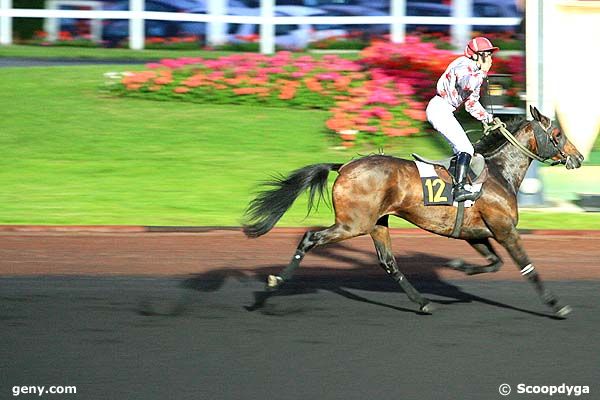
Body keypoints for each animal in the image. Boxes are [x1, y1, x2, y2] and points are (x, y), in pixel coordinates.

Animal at [241, 104, 584, 318]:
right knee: (309, 239)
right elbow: (527, 268)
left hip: (377, 223)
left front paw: (461, 267)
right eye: (557, 134)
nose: (579, 157)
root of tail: (344, 166)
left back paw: (422, 302)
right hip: (353, 224)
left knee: (389, 262)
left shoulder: (476, 233)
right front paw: (557, 305)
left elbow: (494, 263)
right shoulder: (505, 230)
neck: (499, 172)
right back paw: (274, 284)